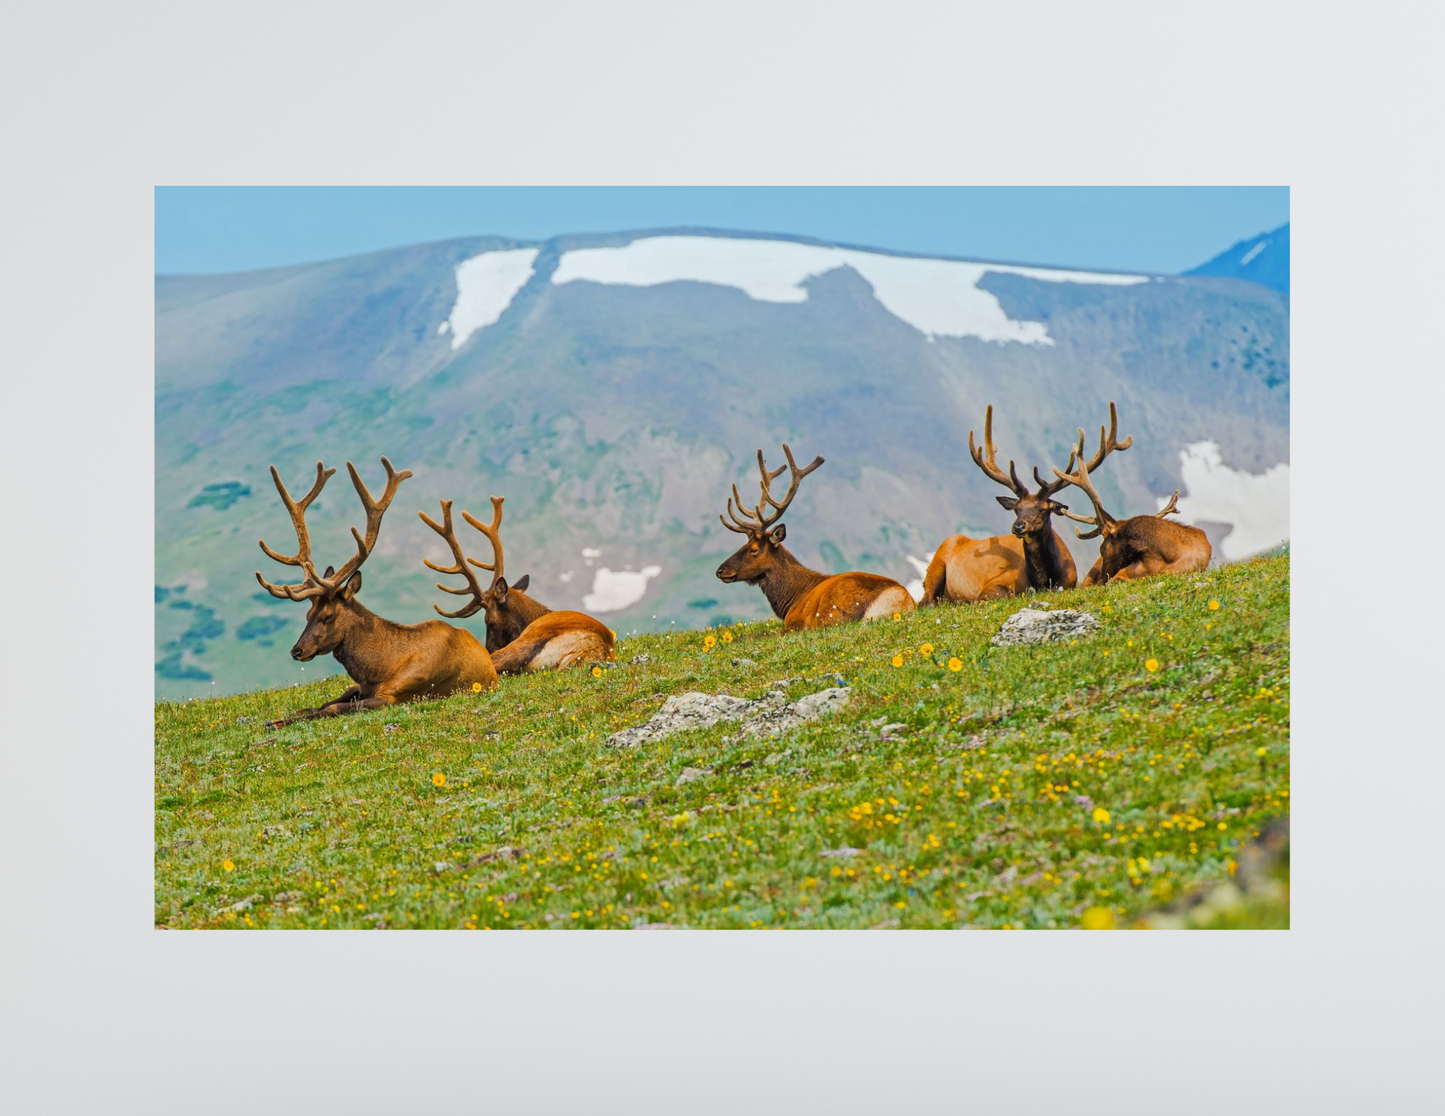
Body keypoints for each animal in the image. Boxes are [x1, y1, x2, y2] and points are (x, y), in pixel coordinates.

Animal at [255, 456, 497, 726]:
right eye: (307, 615)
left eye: (328, 615)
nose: (297, 651)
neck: (379, 670)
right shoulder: (361, 688)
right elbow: (319, 705)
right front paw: (273, 719)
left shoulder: (395, 696)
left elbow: (331, 708)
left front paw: (274, 723)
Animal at [716, 444, 916, 630]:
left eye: (753, 549)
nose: (720, 570)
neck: (790, 601)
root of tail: (901, 600)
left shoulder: (794, 622)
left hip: (831, 614)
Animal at [920, 403, 1130, 604]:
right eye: (1017, 509)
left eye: (1043, 509)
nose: (1018, 526)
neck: (1042, 581)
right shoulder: (993, 583)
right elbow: (998, 595)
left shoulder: (1070, 581)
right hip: (937, 562)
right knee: (926, 601)